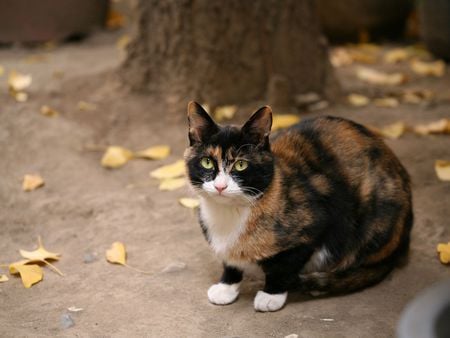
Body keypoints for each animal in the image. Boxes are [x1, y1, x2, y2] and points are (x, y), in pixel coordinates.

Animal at [183, 101, 412, 312]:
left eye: (241, 164)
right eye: (206, 162)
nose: (220, 186)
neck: (231, 213)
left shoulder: (317, 224)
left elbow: (284, 266)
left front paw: (271, 295)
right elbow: (229, 261)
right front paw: (226, 287)